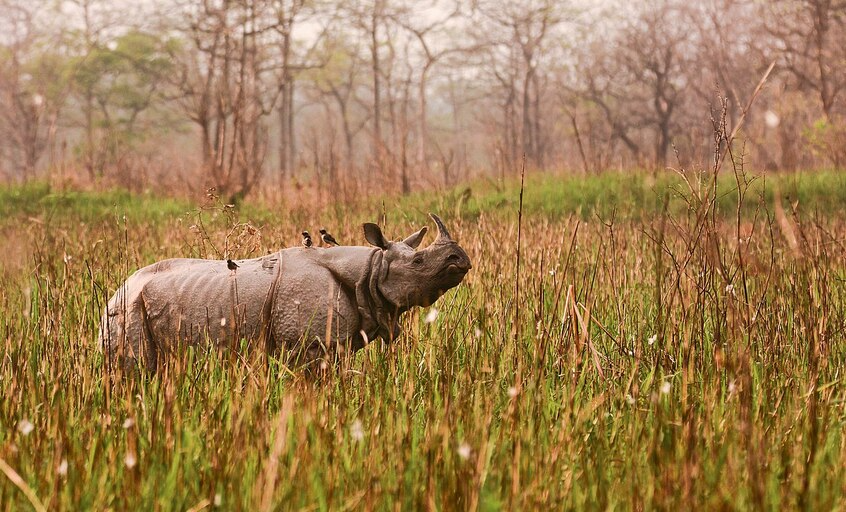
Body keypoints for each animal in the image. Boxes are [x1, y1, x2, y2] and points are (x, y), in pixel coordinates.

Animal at [99, 212, 474, 368]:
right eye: (419, 262)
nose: (462, 259)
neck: (370, 269)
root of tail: (118, 288)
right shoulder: (309, 345)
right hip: (126, 310)